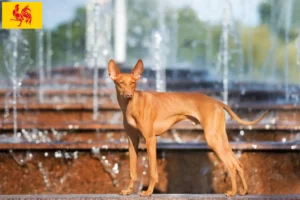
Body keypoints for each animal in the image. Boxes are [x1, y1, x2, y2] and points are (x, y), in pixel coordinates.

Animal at [107, 59, 268, 197]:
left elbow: (153, 171)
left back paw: (232, 192)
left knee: (231, 165)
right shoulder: (132, 140)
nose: (129, 94)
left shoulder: (150, 139)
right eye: (121, 83)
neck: (132, 105)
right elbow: (132, 171)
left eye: (133, 83)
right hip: (220, 138)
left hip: (212, 139)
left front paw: (148, 192)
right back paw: (243, 191)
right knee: (238, 163)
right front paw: (128, 191)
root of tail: (217, 102)